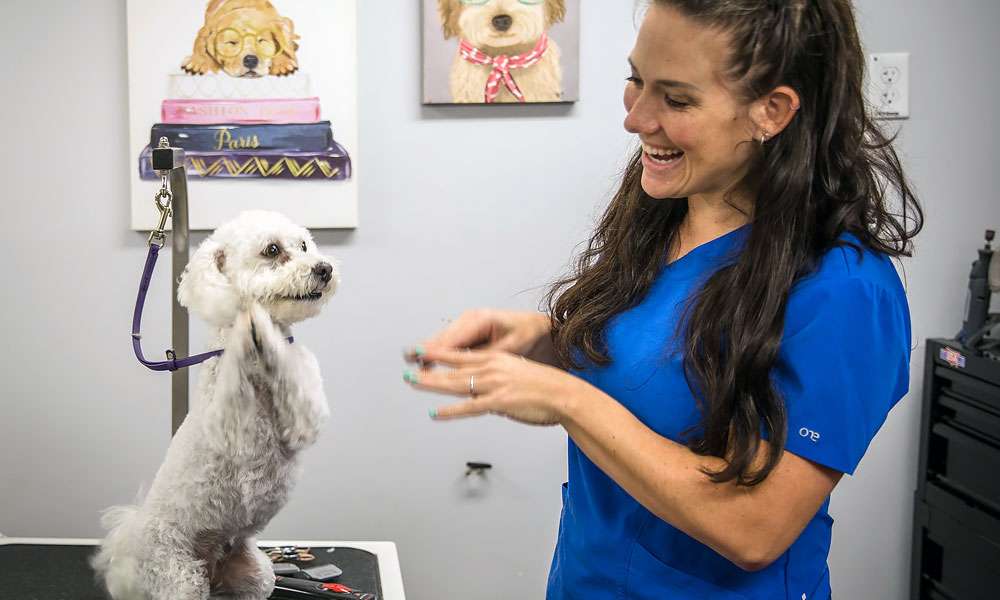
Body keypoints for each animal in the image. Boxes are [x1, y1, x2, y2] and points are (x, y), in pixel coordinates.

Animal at [94, 212, 336, 600]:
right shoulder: (235, 429)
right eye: (272, 250)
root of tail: (132, 534)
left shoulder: (305, 414)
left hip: (255, 574)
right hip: (178, 575)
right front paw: (252, 324)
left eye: (303, 245)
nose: (324, 268)